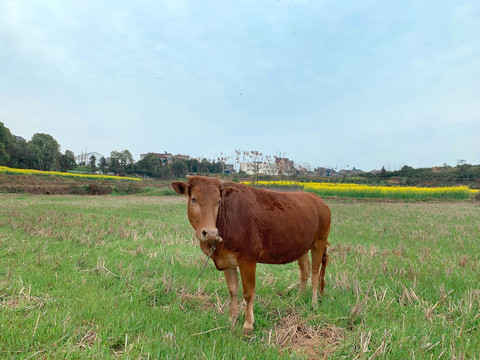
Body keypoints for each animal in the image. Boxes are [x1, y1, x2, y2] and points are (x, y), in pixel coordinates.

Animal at [171, 176, 332, 330]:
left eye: (218, 201)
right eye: (194, 199)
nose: (210, 233)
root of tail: (318, 200)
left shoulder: (248, 259)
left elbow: (248, 293)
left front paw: (248, 324)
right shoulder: (227, 261)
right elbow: (233, 291)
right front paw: (232, 319)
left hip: (319, 242)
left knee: (315, 273)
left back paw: (314, 303)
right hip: (302, 247)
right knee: (305, 271)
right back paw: (298, 299)